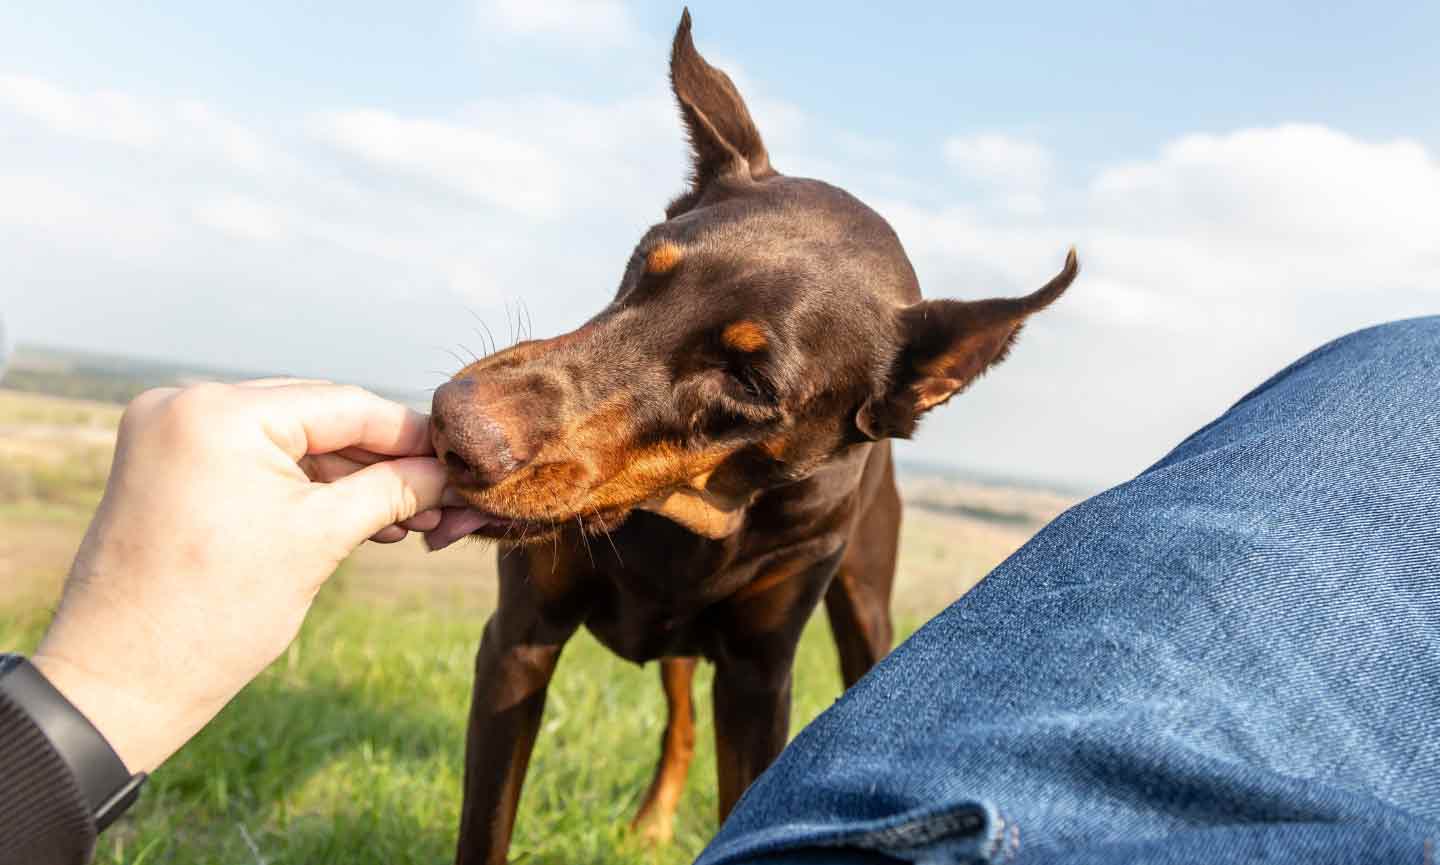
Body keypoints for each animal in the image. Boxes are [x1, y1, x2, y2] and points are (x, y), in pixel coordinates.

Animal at [420, 8, 1077, 863]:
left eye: (750, 382)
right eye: (644, 264)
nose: (455, 425)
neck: (694, 518)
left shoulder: (759, 676)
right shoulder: (519, 641)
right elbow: (487, 821)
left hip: (864, 603)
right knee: (678, 720)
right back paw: (653, 818)